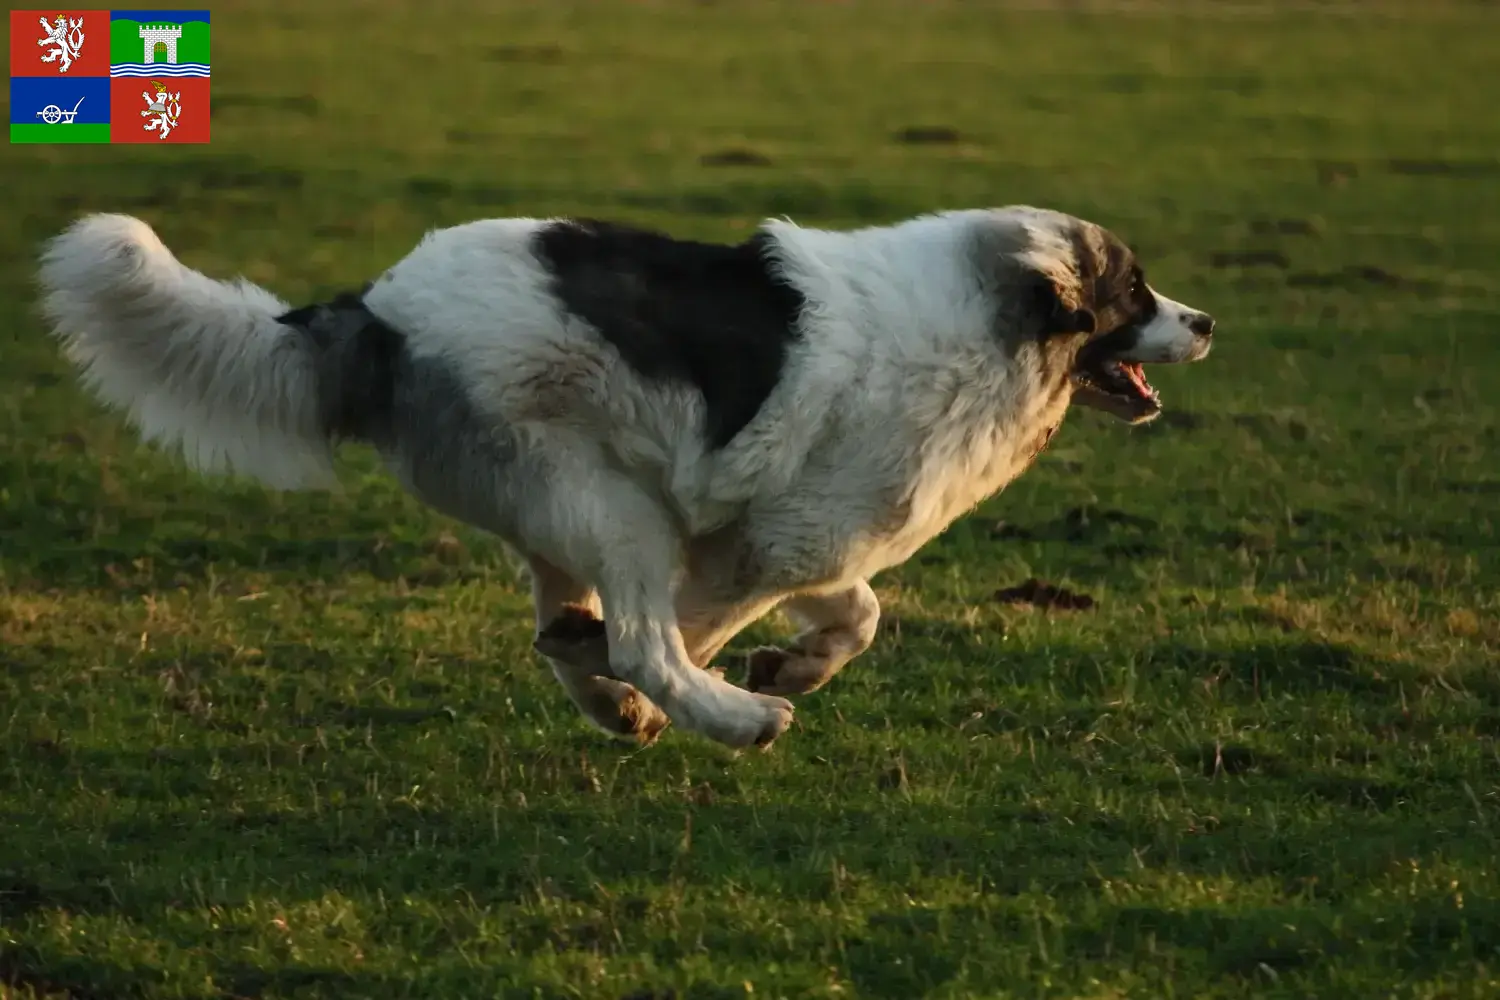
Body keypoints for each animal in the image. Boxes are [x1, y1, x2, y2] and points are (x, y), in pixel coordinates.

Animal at [38, 205, 1218, 749]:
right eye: (1136, 291)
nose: (1205, 322)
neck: (993, 325)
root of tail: (375, 307)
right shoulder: (763, 543)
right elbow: (697, 629)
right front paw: (736, 685)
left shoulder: (801, 531)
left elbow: (857, 612)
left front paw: (794, 664)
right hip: (618, 508)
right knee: (640, 634)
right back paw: (728, 720)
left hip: (569, 510)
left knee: (561, 620)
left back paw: (621, 698)